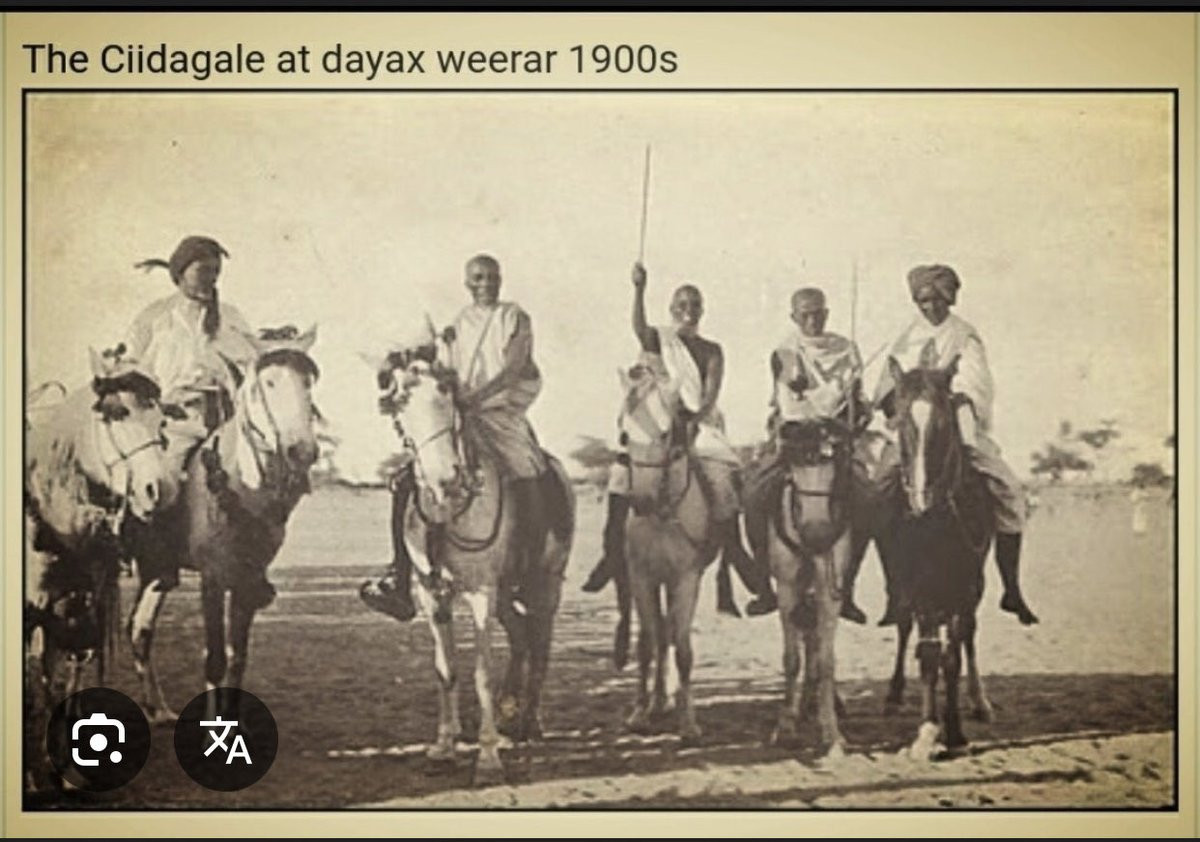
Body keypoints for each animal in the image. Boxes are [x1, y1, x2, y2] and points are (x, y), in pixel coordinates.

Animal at [24, 348, 170, 791]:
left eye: (162, 421)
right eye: (116, 412)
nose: (158, 489)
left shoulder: (63, 611)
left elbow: (52, 679)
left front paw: (60, 771)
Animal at [127, 326, 320, 723]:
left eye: (308, 382)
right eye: (269, 383)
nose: (303, 451)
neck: (240, 485)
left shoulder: (245, 579)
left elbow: (237, 658)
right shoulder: (213, 577)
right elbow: (215, 660)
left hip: (155, 571)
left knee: (139, 630)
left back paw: (158, 709)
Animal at [375, 338, 575, 786]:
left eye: (447, 394)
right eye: (400, 402)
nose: (445, 479)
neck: (449, 511)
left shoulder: (482, 592)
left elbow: (481, 672)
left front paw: (487, 759)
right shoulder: (432, 594)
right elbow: (445, 670)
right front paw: (444, 747)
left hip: (544, 584)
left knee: (540, 644)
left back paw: (528, 721)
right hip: (505, 593)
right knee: (520, 637)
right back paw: (509, 710)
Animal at [761, 416, 854, 758]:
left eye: (834, 469)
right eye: (794, 472)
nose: (817, 536)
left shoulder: (829, 590)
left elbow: (826, 661)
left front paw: (832, 734)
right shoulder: (787, 589)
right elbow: (792, 659)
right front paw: (786, 727)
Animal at [882, 355, 994, 758]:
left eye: (945, 421)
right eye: (899, 418)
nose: (921, 500)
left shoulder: (965, 584)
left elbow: (953, 654)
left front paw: (955, 731)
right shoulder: (918, 586)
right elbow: (929, 653)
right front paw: (927, 731)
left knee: (968, 635)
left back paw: (979, 701)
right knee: (905, 627)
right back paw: (894, 695)